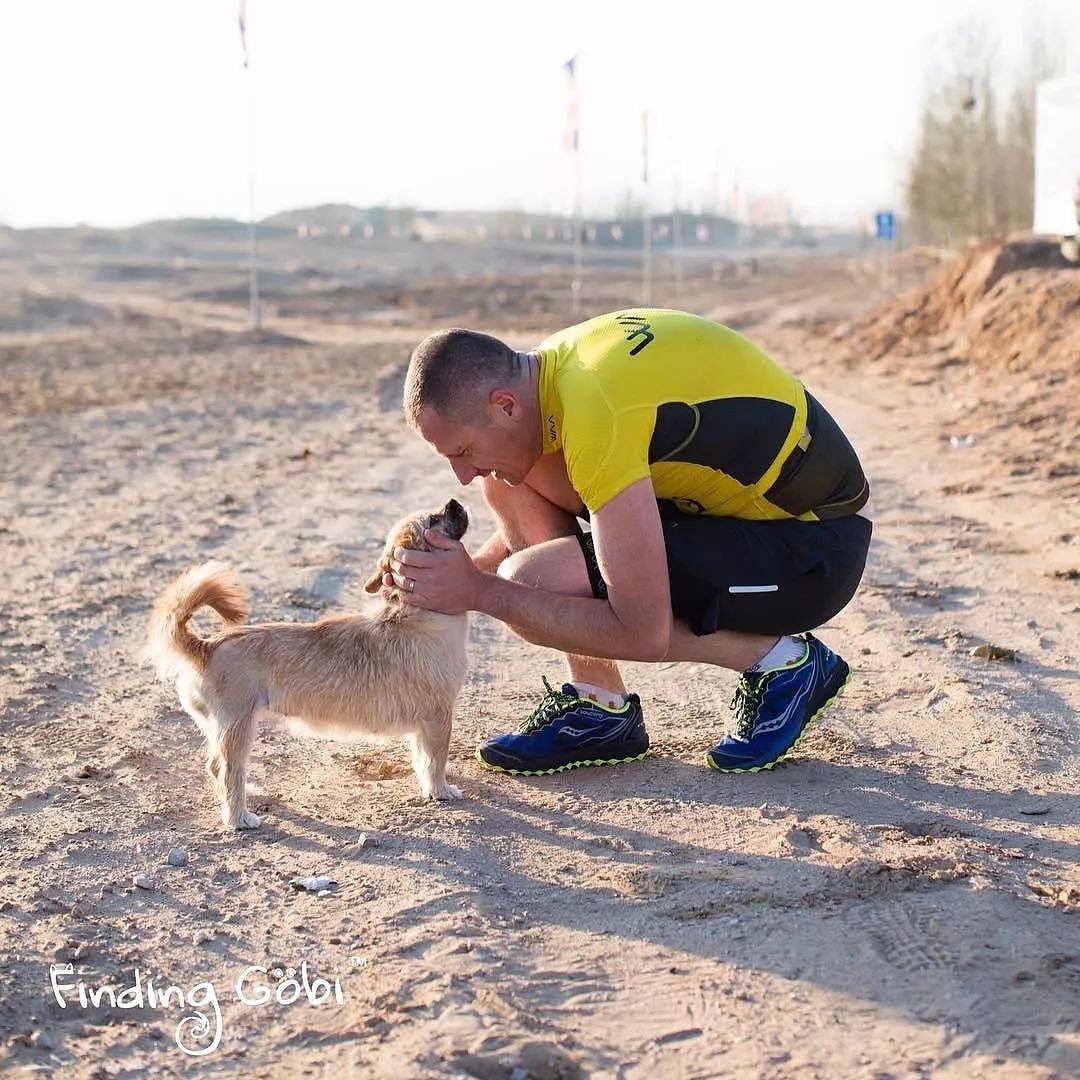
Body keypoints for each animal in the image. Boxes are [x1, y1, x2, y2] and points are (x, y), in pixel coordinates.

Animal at [143, 496, 468, 825]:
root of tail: (206, 646)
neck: (412, 613)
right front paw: (441, 791)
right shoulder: (438, 718)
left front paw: (429, 788)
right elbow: (436, 761)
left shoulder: (425, 725)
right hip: (238, 728)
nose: (454, 501)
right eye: (433, 520)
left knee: (214, 765)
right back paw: (239, 818)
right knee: (228, 772)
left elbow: (422, 759)